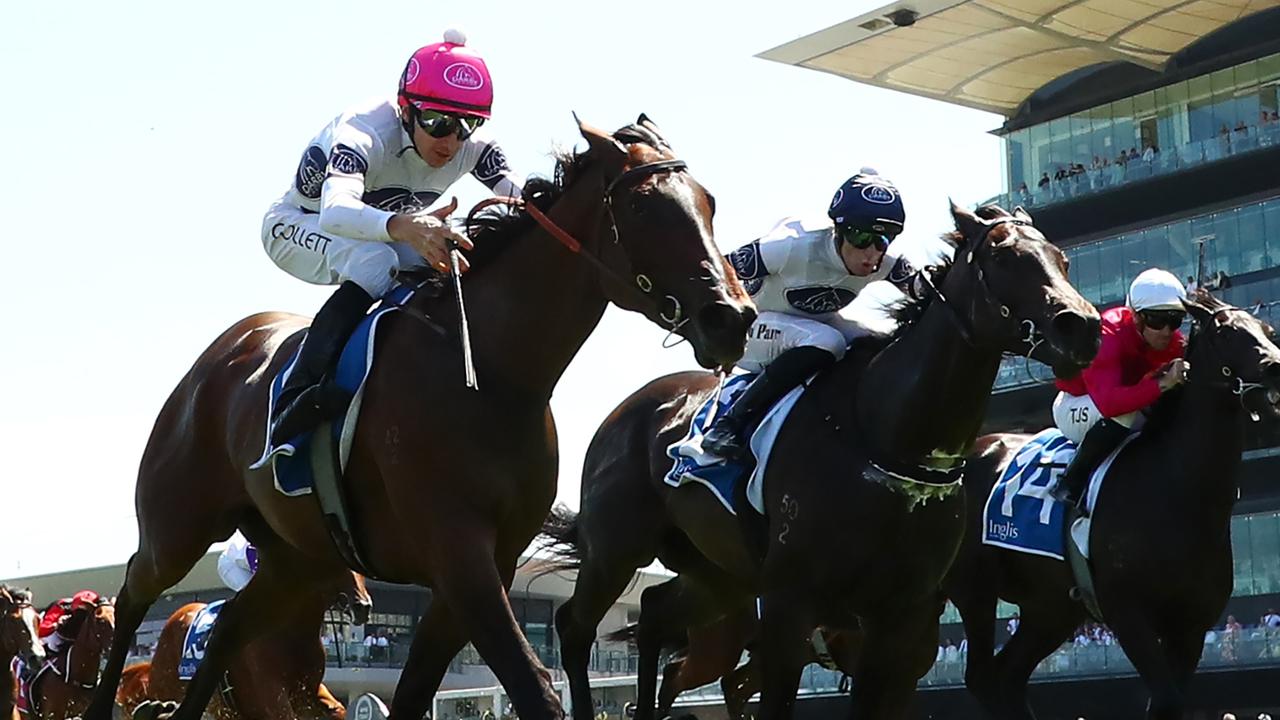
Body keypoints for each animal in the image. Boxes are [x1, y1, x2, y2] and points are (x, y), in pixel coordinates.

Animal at [80, 113, 752, 720]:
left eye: (709, 202)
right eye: (642, 207)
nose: (732, 317)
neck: (491, 371)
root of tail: (224, 352)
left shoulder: (486, 561)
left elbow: (414, 693)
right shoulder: (457, 550)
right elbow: (533, 689)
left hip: (298, 558)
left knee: (227, 630)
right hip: (177, 527)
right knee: (134, 593)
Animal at [540, 203, 1100, 717]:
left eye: (1061, 259)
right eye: (1004, 257)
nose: (1082, 327)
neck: (888, 438)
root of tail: (625, 412)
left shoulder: (901, 620)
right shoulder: (789, 606)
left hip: (717, 576)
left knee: (655, 617)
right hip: (617, 549)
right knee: (574, 626)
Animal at [942, 289, 1280, 717]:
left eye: (1268, 329)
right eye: (1225, 332)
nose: (1276, 367)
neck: (1175, 490)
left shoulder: (1191, 626)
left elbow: (1169, 701)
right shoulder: (1126, 612)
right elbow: (1166, 699)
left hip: (1051, 609)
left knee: (1009, 676)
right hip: (976, 587)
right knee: (981, 677)